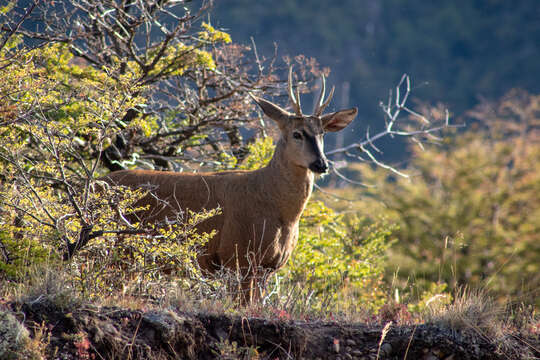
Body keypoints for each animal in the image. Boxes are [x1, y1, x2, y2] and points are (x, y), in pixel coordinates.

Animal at [103, 67, 356, 300]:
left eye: (322, 134)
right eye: (297, 134)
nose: (321, 164)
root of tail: (98, 182)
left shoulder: (267, 267)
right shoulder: (236, 256)